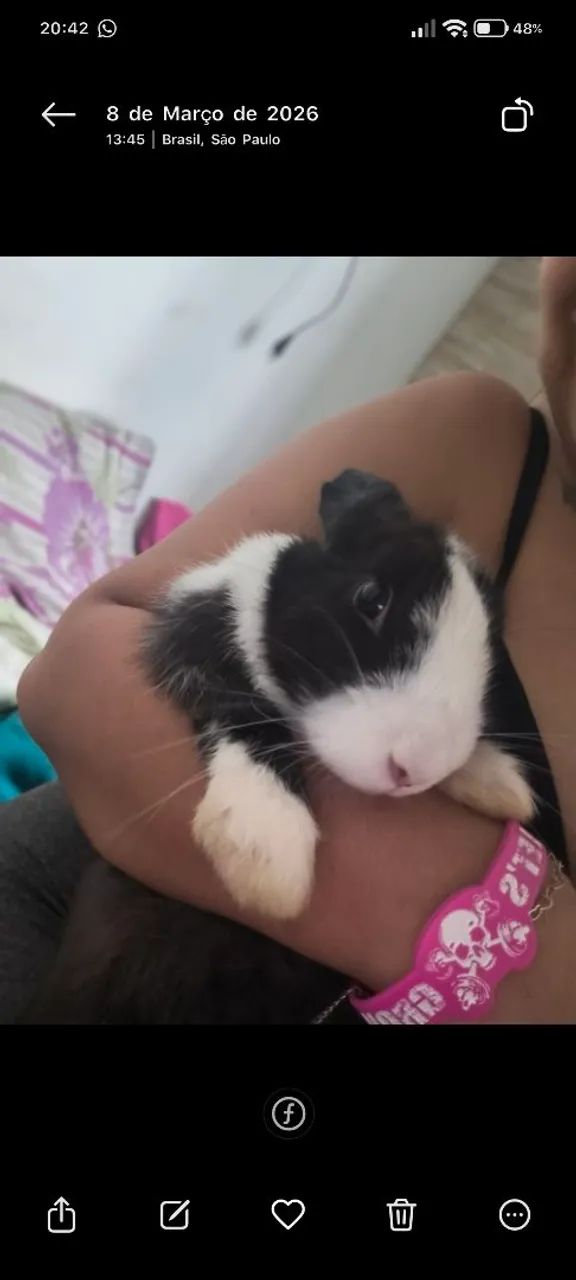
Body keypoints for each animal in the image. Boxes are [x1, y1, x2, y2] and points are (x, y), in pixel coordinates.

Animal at [140, 468, 536, 921]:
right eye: (372, 599)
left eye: (490, 632)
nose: (414, 770)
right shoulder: (192, 640)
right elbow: (239, 709)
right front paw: (266, 851)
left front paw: (497, 782)